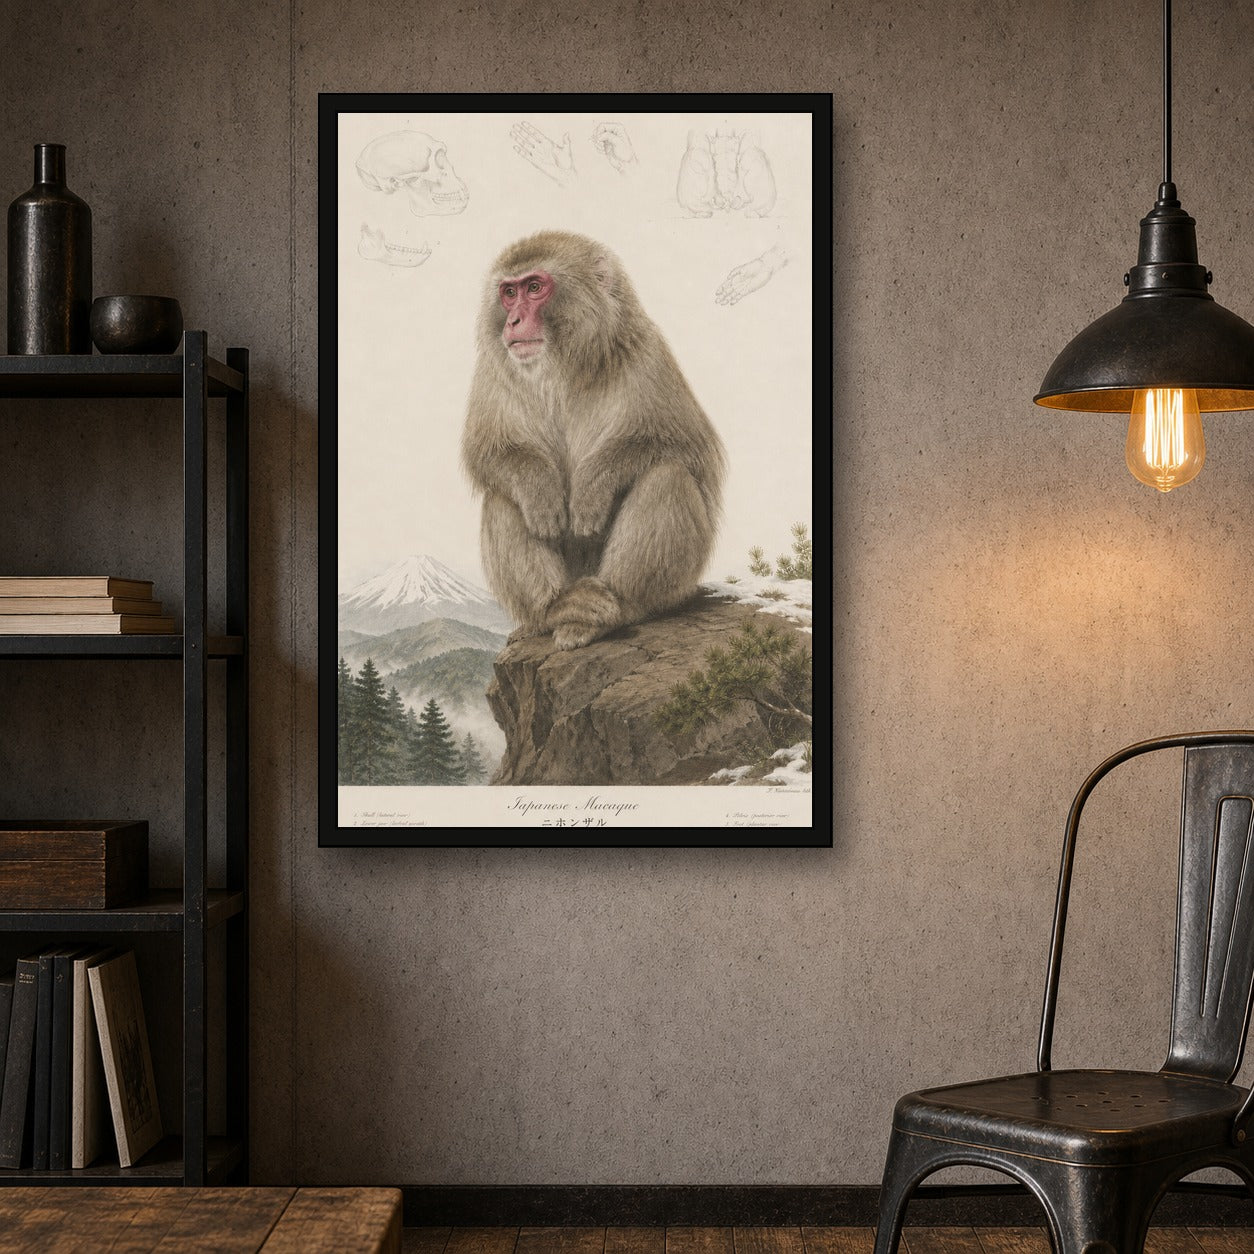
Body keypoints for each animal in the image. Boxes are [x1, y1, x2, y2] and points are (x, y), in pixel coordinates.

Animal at [461, 230, 726, 651]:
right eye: (508, 292)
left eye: (534, 288)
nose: (513, 320)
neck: (565, 365)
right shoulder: (494, 368)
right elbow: (489, 450)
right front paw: (540, 491)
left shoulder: (648, 354)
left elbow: (684, 444)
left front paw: (592, 488)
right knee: (502, 497)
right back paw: (555, 609)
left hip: (674, 585)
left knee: (667, 476)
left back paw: (613, 607)